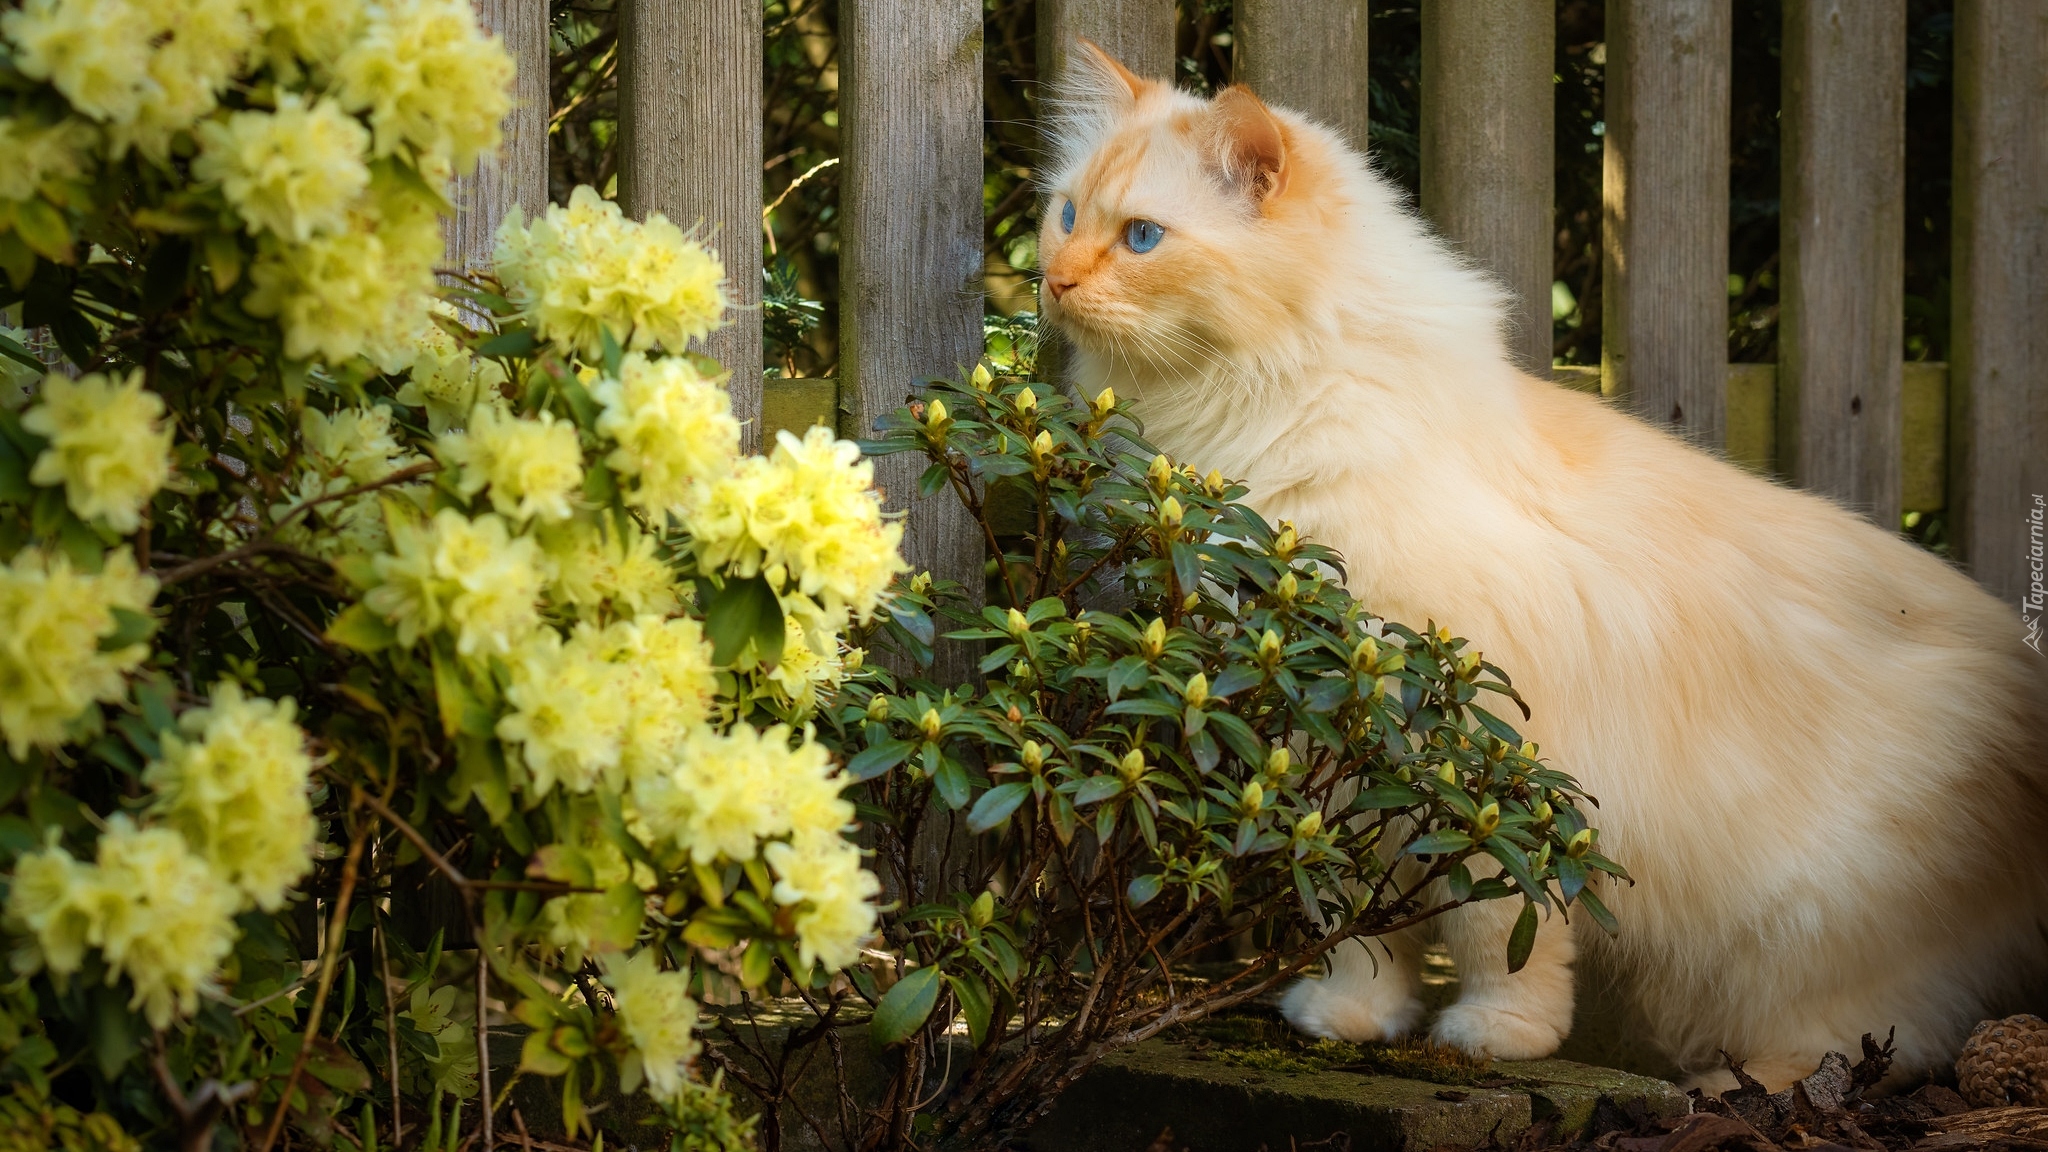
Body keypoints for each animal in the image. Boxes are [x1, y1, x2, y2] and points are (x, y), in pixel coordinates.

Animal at [1040, 44, 2048, 1082]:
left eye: (1143, 237)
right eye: (1067, 216)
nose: (1050, 280)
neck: (1253, 424)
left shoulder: (1476, 761)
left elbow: (1493, 925)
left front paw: (1498, 1035)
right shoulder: (1346, 758)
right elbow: (1357, 920)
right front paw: (1350, 1018)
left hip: (1806, 938)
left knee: (1865, 1041)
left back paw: (1732, 1084)